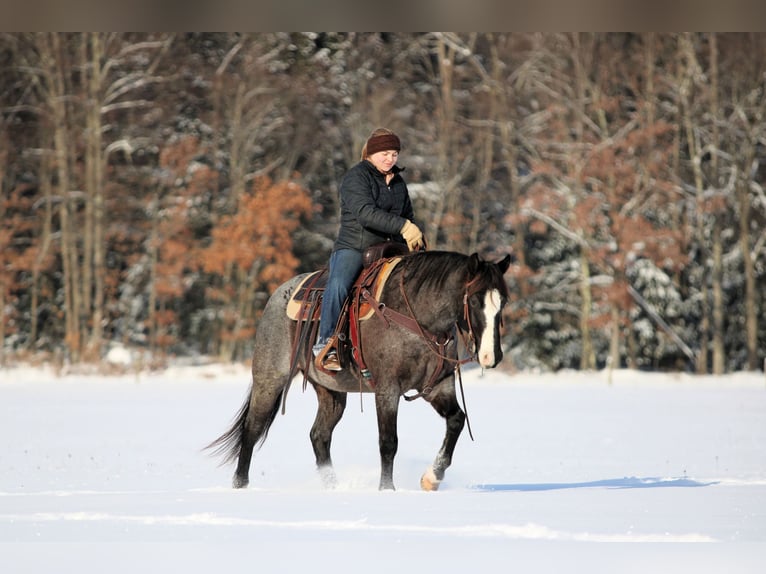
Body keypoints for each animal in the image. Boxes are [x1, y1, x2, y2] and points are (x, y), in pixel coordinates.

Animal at [207, 250, 511, 491]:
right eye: (475, 300)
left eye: (504, 302)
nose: (491, 356)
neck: (415, 316)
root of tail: (278, 295)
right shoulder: (387, 389)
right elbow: (388, 442)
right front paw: (386, 490)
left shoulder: (439, 387)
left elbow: (457, 421)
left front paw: (431, 478)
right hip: (270, 379)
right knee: (252, 429)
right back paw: (240, 486)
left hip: (330, 392)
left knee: (319, 435)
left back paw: (333, 486)